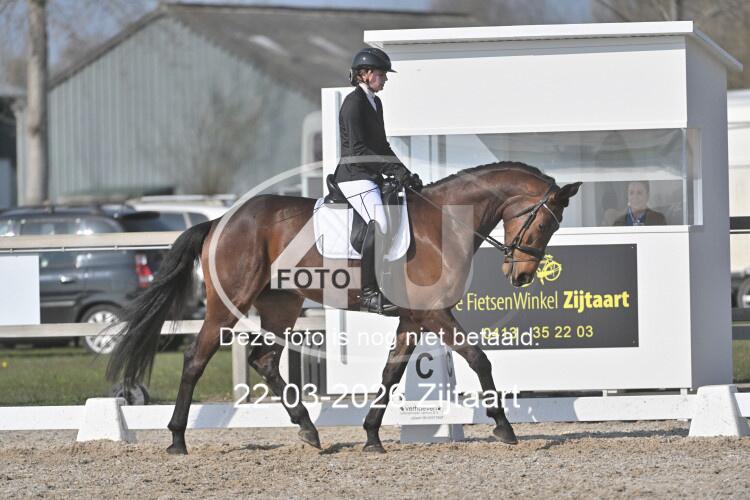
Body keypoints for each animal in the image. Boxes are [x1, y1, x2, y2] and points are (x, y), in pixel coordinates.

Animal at [106, 161, 581, 455]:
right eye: (543, 223)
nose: (521, 276)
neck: (445, 223)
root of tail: (220, 221)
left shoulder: (413, 318)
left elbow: (391, 373)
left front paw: (371, 435)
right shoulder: (433, 313)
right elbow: (479, 358)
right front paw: (503, 426)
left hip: (282, 306)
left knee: (264, 360)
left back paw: (309, 430)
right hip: (229, 305)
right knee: (195, 359)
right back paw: (177, 439)